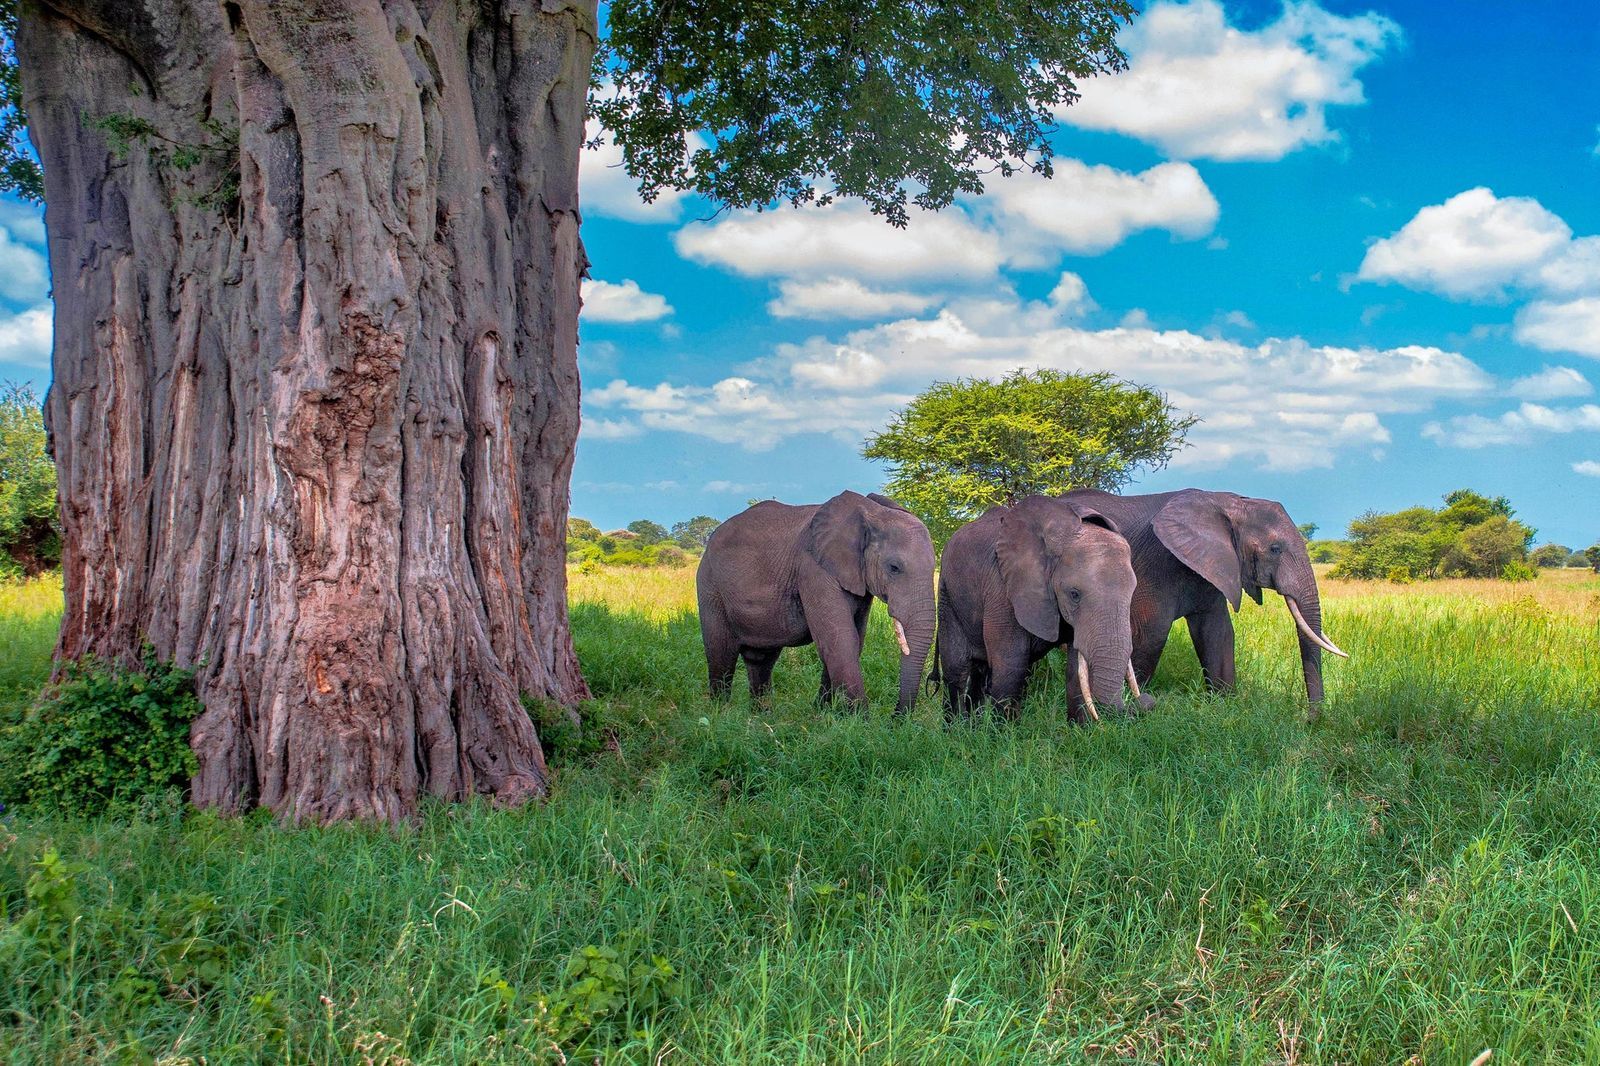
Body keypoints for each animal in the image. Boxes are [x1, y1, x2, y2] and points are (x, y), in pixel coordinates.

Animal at [697, 490, 937, 714]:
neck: (873, 512)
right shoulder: (813, 568)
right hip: (710, 587)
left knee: (761, 659)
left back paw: (761, 716)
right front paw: (861, 722)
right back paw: (720, 714)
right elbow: (840, 640)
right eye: (894, 568)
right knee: (721, 651)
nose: (895, 719)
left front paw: (821, 713)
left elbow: (855, 639)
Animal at [935, 496, 1146, 723]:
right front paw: (1003, 731)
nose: (1144, 702)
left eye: (1131, 593)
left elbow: (1075, 671)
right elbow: (1011, 666)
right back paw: (956, 727)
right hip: (947, 595)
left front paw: (1081, 728)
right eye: (1074, 594)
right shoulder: (1003, 586)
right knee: (956, 669)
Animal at [1059, 488, 1346, 717]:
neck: (1227, 503)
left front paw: (1224, 705)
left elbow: (1217, 632)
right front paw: (1135, 701)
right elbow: (1152, 634)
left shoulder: (1215, 565)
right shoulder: (1156, 565)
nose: (1310, 718)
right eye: (1275, 549)